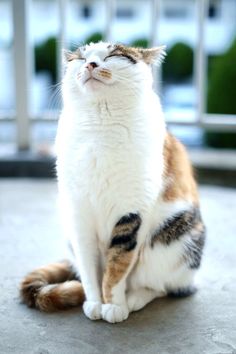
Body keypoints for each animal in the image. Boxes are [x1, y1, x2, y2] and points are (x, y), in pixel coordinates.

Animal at [19, 41, 205, 324]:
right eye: (80, 58)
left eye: (114, 55)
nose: (90, 64)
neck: (100, 125)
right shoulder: (78, 213)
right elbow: (89, 267)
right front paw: (95, 302)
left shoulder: (132, 211)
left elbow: (118, 265)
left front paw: (114, 305)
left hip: (177, 237)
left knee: (163, 286)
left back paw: (135, 299)